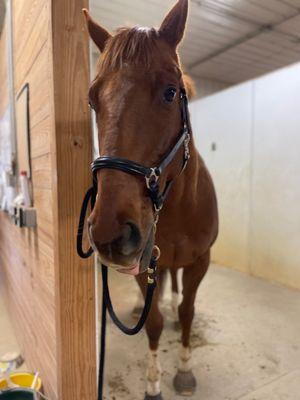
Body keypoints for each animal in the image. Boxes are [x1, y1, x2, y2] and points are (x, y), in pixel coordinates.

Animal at [84, 1, 218, 398]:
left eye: (171, 92)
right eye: (92, 100)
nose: (110, 232)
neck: (178, 209)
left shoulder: (200, 260)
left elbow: (188, 311)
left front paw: (185, 369)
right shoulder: (145, 265)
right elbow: (153, 322)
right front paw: (153, 381)